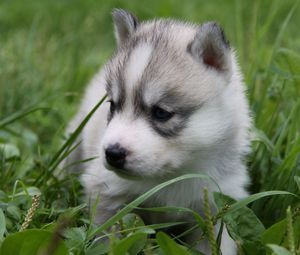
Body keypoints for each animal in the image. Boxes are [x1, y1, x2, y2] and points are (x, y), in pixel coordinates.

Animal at [65, 8, 251, 254]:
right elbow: (106, 238)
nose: (112, 153)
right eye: (113, 105)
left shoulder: (216, 206)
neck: (172, 176)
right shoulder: (107, 194)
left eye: (161, 113)